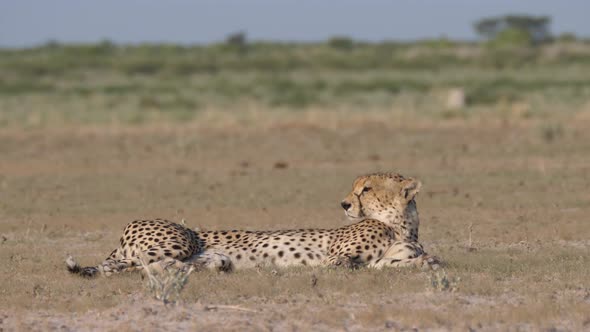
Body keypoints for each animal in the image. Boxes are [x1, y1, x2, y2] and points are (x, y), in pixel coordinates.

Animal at [68, 171, 440, 278]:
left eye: (367, 189)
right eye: (356, 187)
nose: (345, 204)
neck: (399, 224)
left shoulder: (383, 260)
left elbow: (406, 262)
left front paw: (426, 262)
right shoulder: (334, 260)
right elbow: (349, 265)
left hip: (205, 255)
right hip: (179, 238)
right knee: (132, 265)